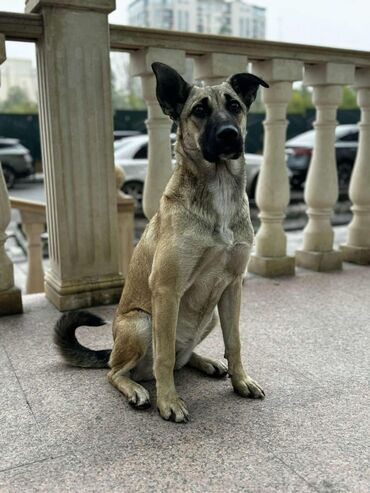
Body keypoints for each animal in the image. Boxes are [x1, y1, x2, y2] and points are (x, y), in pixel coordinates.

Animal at [54, 61, 268, 422]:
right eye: (199, 111)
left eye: (235, 106)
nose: (229, 134)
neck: (219, 189)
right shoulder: (167, 290)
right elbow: (164, 356)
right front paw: (169, 401)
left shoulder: (232, 286)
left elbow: (234, 342)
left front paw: (241, 380)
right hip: (142, 322)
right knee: (117, 371)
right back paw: (136, 389)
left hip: (210, 316)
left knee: (183, 357)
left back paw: (206, 362)